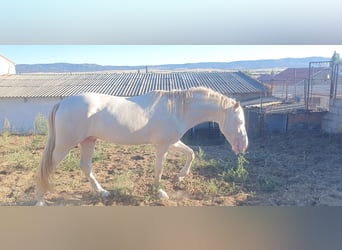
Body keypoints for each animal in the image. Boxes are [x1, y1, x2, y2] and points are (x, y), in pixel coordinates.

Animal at [35, 86, 248, 205]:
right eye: (239, 121)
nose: (244, 146)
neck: (178, 110)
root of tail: (63, 103)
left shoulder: (172, 142)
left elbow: (191, 153)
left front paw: (180, 176)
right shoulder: (162, 146)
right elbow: (159, 168)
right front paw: (159, 192)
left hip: (88, 141)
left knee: (85, 166)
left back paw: (102, 192)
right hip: (64, 145)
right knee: (47, 168)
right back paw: (40, 200)